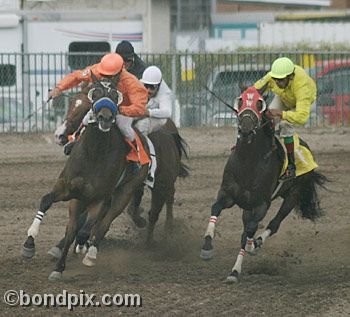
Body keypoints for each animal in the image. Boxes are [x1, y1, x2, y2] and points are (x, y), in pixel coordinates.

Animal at [200, 86, 328, 282]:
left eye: (260, 104)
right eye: (240, 100)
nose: (245, 130)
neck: (248, 161)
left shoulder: (261, 204)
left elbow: (251, 230)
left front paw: (239, 264)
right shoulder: (228, 194)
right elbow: (215, 208)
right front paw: (207, 247)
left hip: (293, 195)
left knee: (273, 224)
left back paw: (254, 246)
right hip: (248, 207)